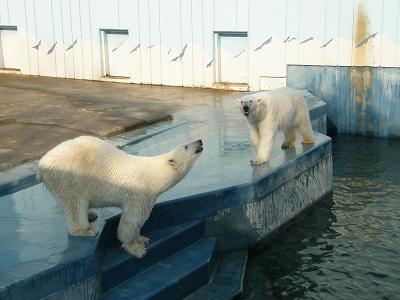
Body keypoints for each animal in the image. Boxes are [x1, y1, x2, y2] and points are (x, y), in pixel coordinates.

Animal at [37, 136, 203, 258]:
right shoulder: (139, 193)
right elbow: (132, 220)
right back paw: (86, 230)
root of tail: (41, 164)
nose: (200, 141)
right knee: (75, 204)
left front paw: (142, 239)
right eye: (186, 146)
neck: (154, 174)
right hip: (69, 178)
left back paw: (90, 214)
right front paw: (136, 248)